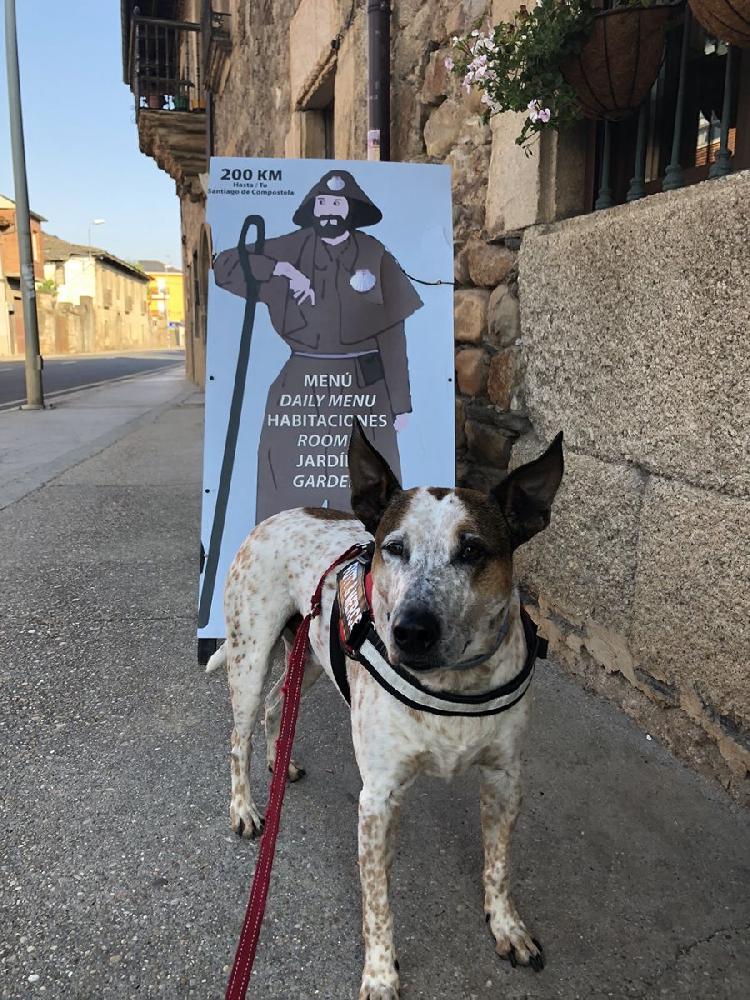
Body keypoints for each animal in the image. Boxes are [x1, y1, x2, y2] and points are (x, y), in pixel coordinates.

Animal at [206, 422, 564, 1000]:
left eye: (473, 550)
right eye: (394, 548)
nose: (411, 630)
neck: (452, 682)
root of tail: (279, 514)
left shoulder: (504, 779)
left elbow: (499, 867)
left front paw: (507, 926)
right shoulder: (379, 799)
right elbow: (378, 903)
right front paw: (378, 972)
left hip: (311, 656)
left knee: (279, 703)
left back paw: (281, 760)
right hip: (248, 657)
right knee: (240, 737)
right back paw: (244, 806)